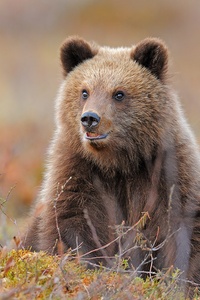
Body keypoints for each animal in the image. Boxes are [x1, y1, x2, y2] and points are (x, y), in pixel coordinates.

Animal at [23, 36, 200, 294]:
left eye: (119, 93)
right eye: (84, 91)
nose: (90, 118)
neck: (118, 163)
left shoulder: (169, 173)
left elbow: (181, 231)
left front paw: (179, 284)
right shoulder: (78, 172)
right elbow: (70, 225)